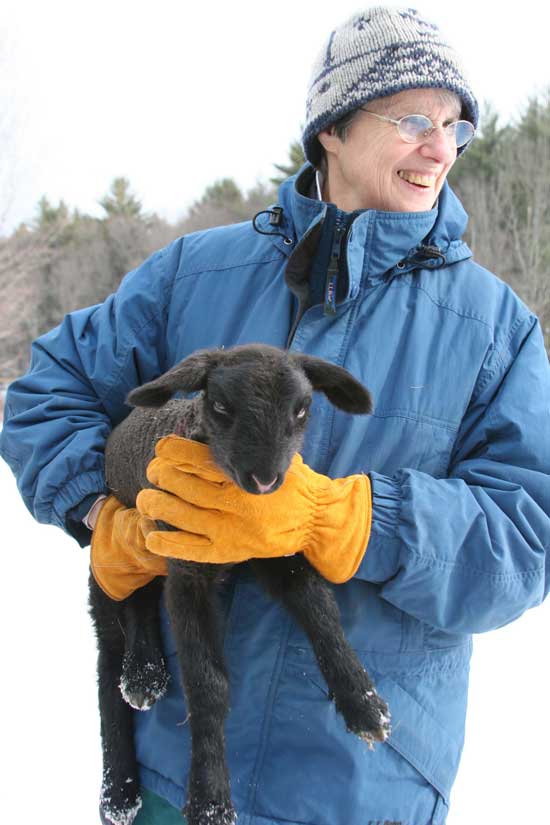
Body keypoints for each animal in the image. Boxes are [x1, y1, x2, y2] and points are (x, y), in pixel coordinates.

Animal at [88, 343, 391, 825]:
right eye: (220, 405)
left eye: (302, 409)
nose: (265, 479)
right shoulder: (187, 572)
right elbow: (207, 685)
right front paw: (210, 800)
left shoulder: (273, 546)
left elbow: (320, 610)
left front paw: (362, 702)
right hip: (110, 565)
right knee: (108, 661)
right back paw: (118, 790)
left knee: (145, 600)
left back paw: (145, 674)